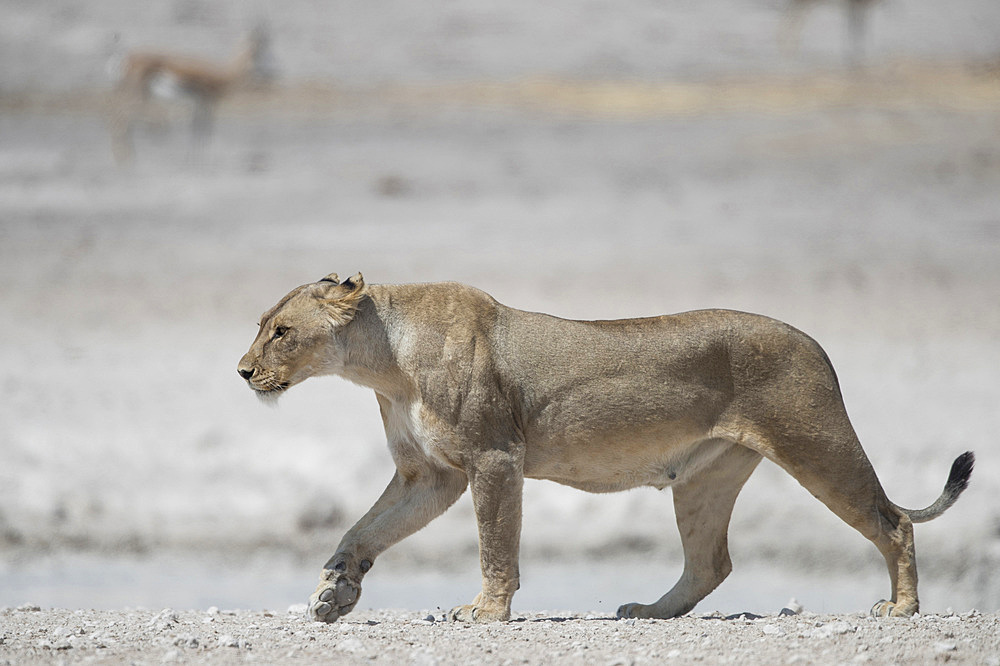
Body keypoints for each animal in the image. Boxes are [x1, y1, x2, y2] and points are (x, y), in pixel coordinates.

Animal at [110, 26, 274, 163]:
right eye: (260, 50)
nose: (272, 71)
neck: (225, 73)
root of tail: (126, 57)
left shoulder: (200, 103)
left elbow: (197, 127)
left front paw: (193, 160)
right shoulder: (207, 102)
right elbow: (203, 129)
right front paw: (201, 161)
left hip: (142, 93)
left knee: (123, 117)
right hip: (136, 93)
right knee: (121, 117)